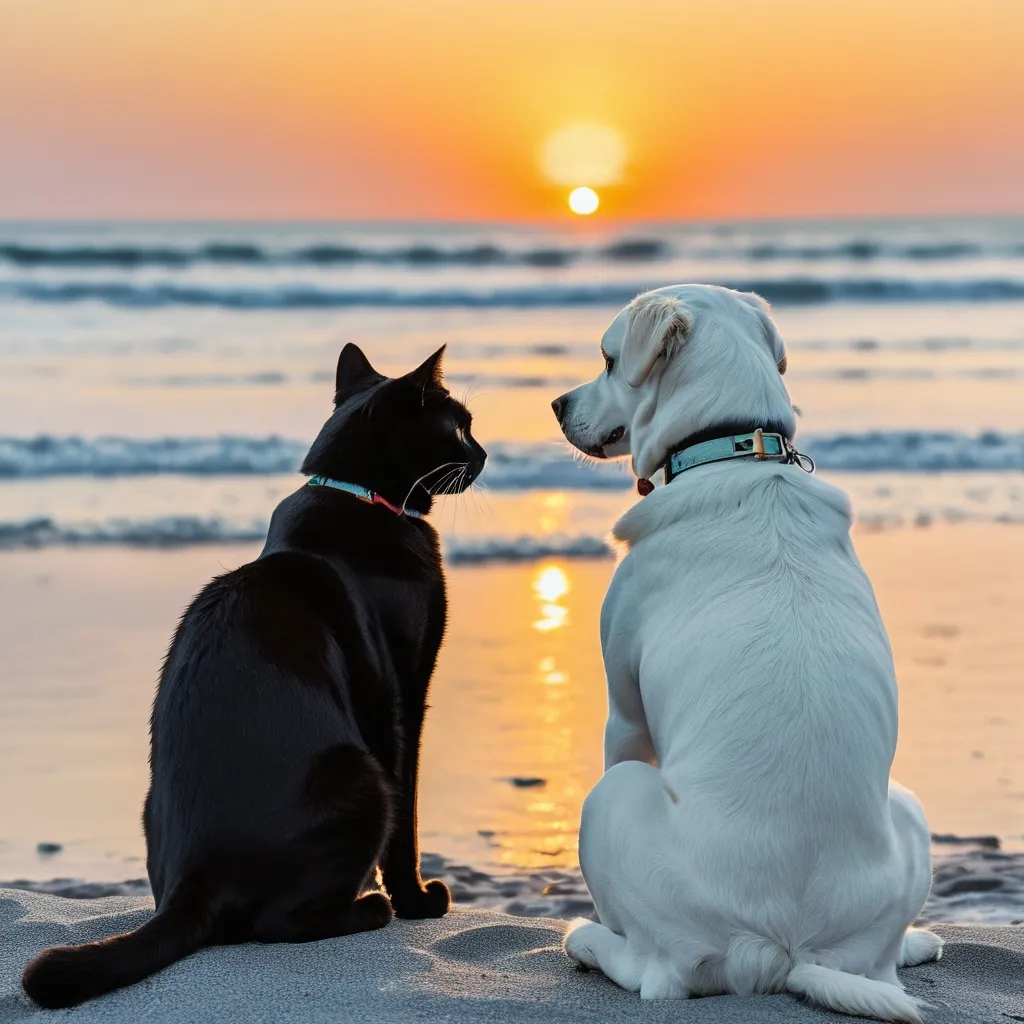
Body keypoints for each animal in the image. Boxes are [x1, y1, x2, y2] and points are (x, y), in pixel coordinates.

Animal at [24, 344, 487, 1007]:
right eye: (459, 426)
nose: (484, 452)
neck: (357, 494)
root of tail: (195, 881)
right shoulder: (403, 694)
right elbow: (409, 817)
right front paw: (419, 901)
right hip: (360, 775)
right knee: (277, 922)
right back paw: (371, 908)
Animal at [552, 284, 942, 1019]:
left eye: (609, 359)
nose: (557, 405)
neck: (733, 447)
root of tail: (784, 950)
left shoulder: (625, 713)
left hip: (611, 798)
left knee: (651, 970)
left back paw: (585, 939)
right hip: (906, 809)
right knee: (879, 965)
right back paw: (917, 944)